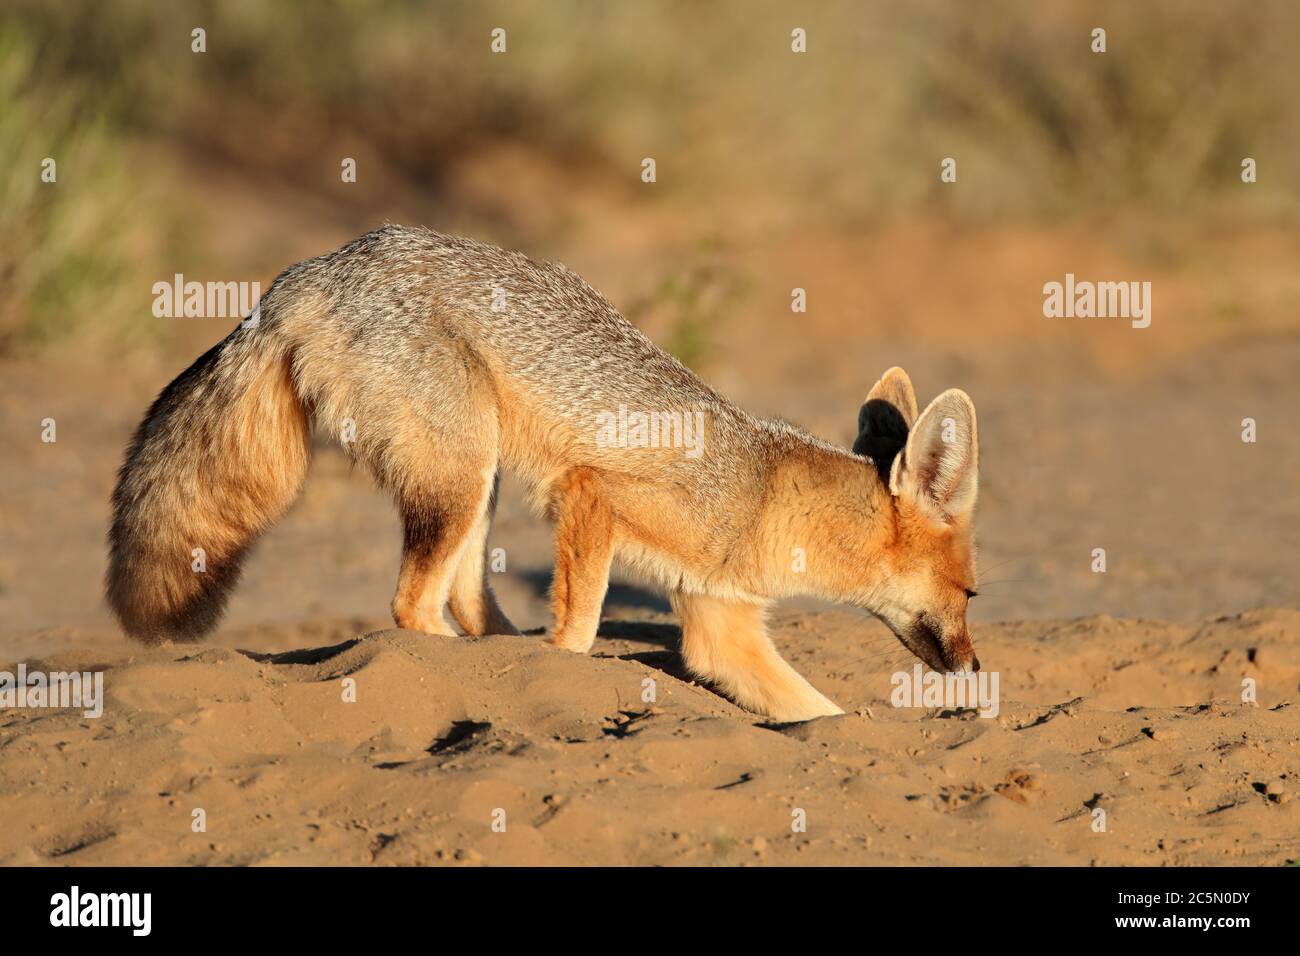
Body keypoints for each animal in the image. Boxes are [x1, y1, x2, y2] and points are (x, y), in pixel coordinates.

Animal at [111, 223, 977, 717]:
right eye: (972, 594)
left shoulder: (721, 624)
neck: (765, 495)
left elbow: (815, 711)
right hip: (461, 476)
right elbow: (582, 628)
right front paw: (563, 665)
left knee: (464, 597)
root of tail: (314, 266)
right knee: (412, 605)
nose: (974, 668)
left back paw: (500, 650)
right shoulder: (595, 496)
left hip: (477, 478)